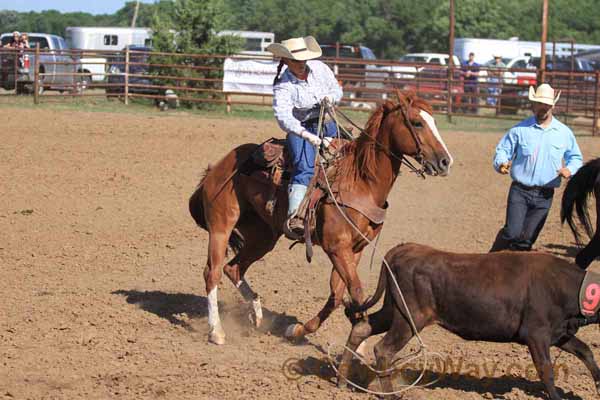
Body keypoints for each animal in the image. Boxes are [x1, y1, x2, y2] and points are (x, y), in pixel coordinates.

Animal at [188, 90, 450, 344]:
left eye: (434, 121)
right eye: (416, 123)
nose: (445, 161)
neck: (360, 181)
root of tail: (218, 167)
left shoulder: (356, 248)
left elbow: (337, 294)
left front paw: (298, 330)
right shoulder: (337, 247)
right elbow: (356, 291)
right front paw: (358, 341)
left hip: (263, 236)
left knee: (233, 268)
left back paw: (257, 314)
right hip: (221, 226)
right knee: (212, 272)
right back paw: (217, 331)